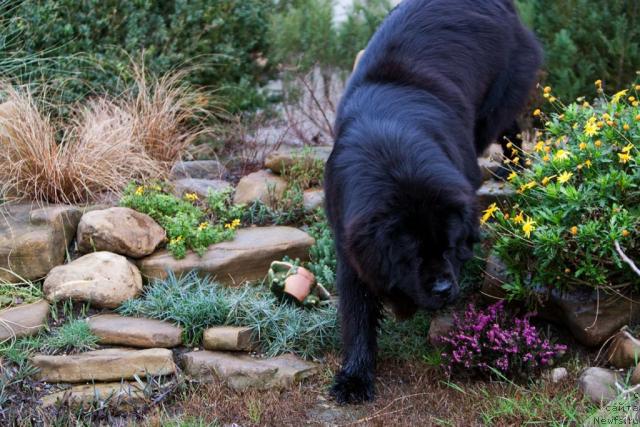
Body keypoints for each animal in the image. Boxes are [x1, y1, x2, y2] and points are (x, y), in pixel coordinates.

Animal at [324, 0, 540, 404]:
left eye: (450, 247)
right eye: (410, 255)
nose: (443, 289)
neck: (393, 155)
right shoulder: (349, 243)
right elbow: (358, 313)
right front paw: (355, 378)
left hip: (494, 102)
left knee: (506, 126)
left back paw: (514, 167)